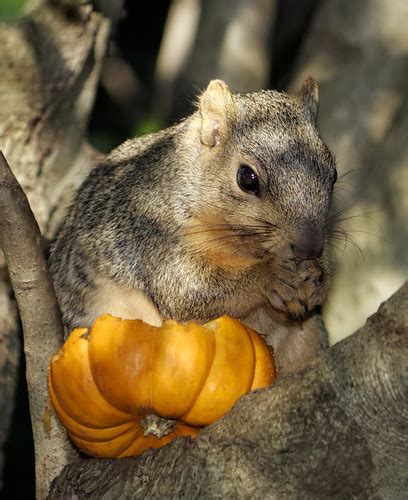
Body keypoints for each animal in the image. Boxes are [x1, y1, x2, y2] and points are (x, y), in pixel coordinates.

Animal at [49, 79, 336, 376]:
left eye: (333, 174)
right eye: (247, 178)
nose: (309, 248)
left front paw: (319, 277)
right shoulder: (152, 232)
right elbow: (187, 290)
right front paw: (271, 276)